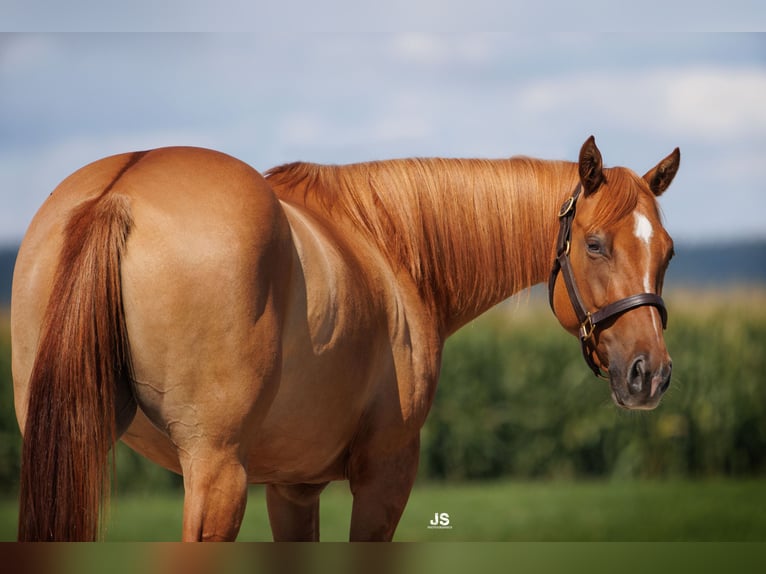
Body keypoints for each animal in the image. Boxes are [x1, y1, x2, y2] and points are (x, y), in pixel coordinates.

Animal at [11, 136, 680, 541]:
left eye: (669, 252)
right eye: (595, 245)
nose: (650, 374)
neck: (390, 246)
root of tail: (119, 194)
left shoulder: (293, 486)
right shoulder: (385, 473)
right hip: (216, 474)